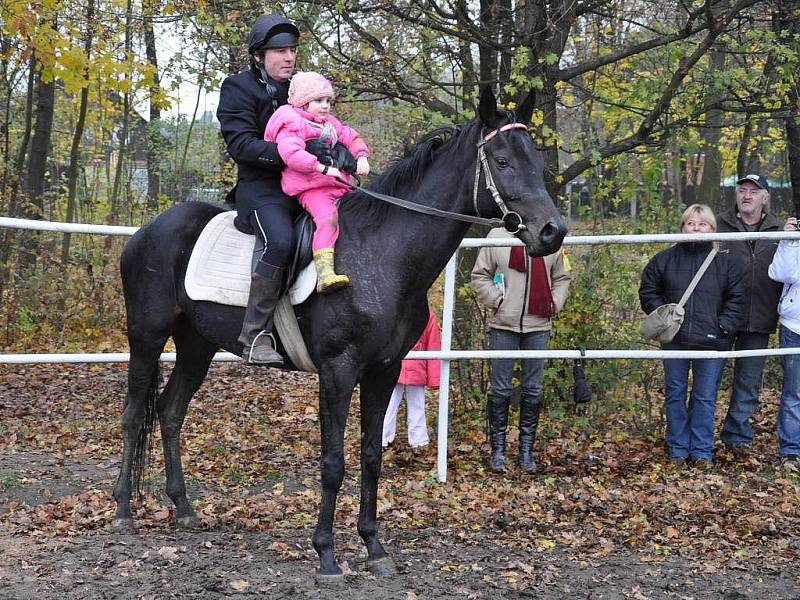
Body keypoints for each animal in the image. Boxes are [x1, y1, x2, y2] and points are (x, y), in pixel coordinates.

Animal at [112, 86, 568, 580]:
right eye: (502, 161)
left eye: (535, 161)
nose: (553, 231)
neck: (383, 252)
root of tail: (148, 230)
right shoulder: (338, 370)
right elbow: (333, 462)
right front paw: (326, 553)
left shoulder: (384, 371)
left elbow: (371, 455)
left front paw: (374, 547)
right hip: (147, 336)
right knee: (134, 413)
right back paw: (123, 512)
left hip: (197, 345)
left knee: (171, 411)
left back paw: (183, 508)